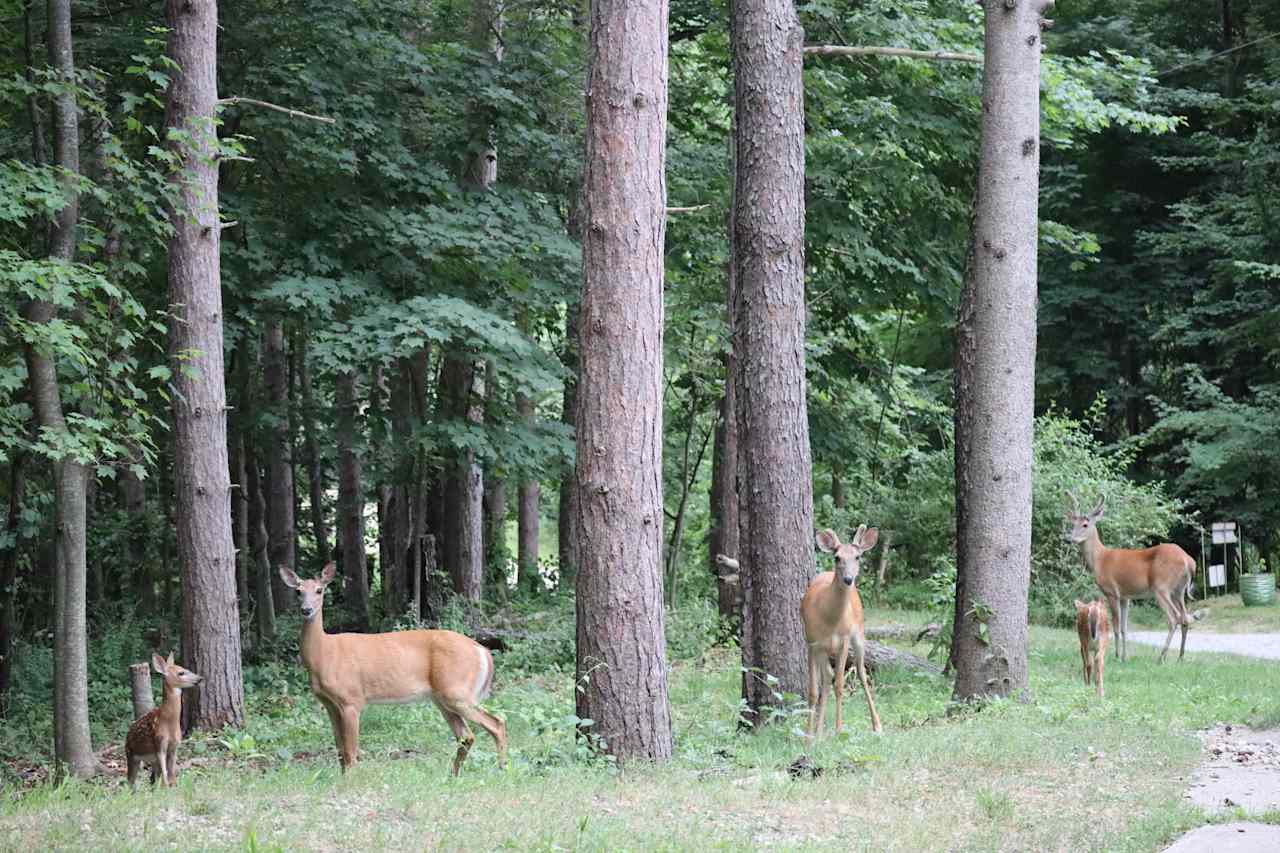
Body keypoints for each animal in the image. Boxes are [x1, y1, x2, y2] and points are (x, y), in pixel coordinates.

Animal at [126, 653, 206, 788]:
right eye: (181, 673)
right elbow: (165, 774)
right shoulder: (159, 743)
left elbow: (171, 773)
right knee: (131, 781)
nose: (200, 678)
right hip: (131, 754)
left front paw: (174, 787)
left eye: (185, 668)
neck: (169, 723)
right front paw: (168, 788)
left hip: (150, 759)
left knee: (153, 778)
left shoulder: (175, 745)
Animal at [279, 560, 504, 773]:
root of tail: (482, 650)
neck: (324, 655)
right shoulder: (329, 704)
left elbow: (351, 752)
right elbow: (340, 751)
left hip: (456, 691)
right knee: (467, 736)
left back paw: (502, 769)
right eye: (298, 591)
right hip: (443, 698)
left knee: (496, 723)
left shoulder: (352, 699)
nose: (306, 610)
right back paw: (453, 775)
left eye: (319, 590)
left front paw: (351, 781)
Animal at [803, 522, 885, 732]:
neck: (830, 620)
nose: (848, 579)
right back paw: (819, 731)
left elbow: (839, 685)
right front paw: (810, 734)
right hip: (821, 648)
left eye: (857, 557)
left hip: (859, 633)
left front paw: (839, 730)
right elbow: (814, 690)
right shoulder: (813, 642)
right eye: (837, 557)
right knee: (826, 678)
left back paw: (877, 725)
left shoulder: (844, 639)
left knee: (861, 673)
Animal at [1064, 489, 1192, 660]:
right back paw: (1180, 657)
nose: (1070, 539)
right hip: (1179, 590)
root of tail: (1188, 560)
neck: (1100, 560)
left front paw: (1117, 655)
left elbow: (1116, 627)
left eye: (1085, 524)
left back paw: (1161, 657)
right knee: (1185, 618)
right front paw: (1125, 657)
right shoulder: (1126, 596)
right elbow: (1125, 628)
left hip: (1161, 587)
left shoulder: (1112, 592)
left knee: (1174, 617)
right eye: (1073, 524)